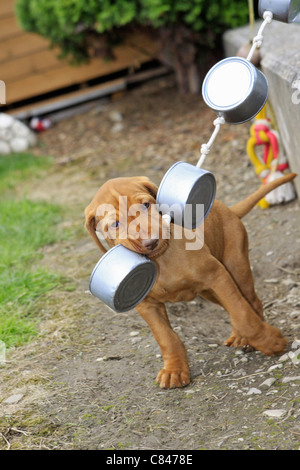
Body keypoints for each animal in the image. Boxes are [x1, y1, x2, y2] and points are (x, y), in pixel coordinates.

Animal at [85, 173, 296, 390]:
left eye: (146, 205)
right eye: (115, 224)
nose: (150, 242)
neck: (161, 259)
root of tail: (227, 209)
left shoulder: (216, 275)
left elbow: (243, 315)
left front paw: (270, 342)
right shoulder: (146, 305)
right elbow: (166, 337)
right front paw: (174, 370)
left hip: (235, 267)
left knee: (250, 301)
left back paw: (246, 337)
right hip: (210, 292)